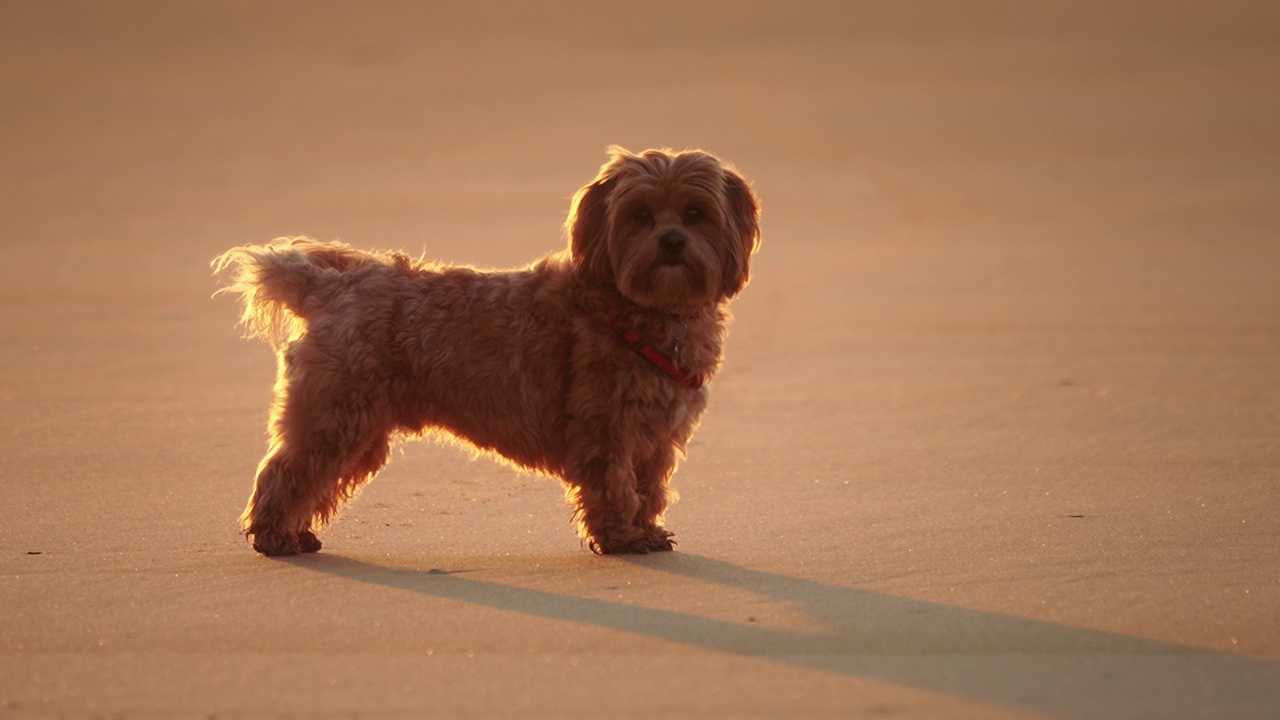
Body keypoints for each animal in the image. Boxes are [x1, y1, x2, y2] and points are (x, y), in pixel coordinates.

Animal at [212, 147, 757, 556]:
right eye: (640, 216)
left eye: (695, 214)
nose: (672, 241)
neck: (642, 309)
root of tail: (331, 285)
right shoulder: (607, 431)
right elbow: (615, 486)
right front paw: (622, 538)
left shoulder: (655, 436)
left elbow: (648, 490)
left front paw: (644, 530)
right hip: (335, 415)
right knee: (289, 470)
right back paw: (275, 536)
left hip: (356, 425)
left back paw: (295, 533)